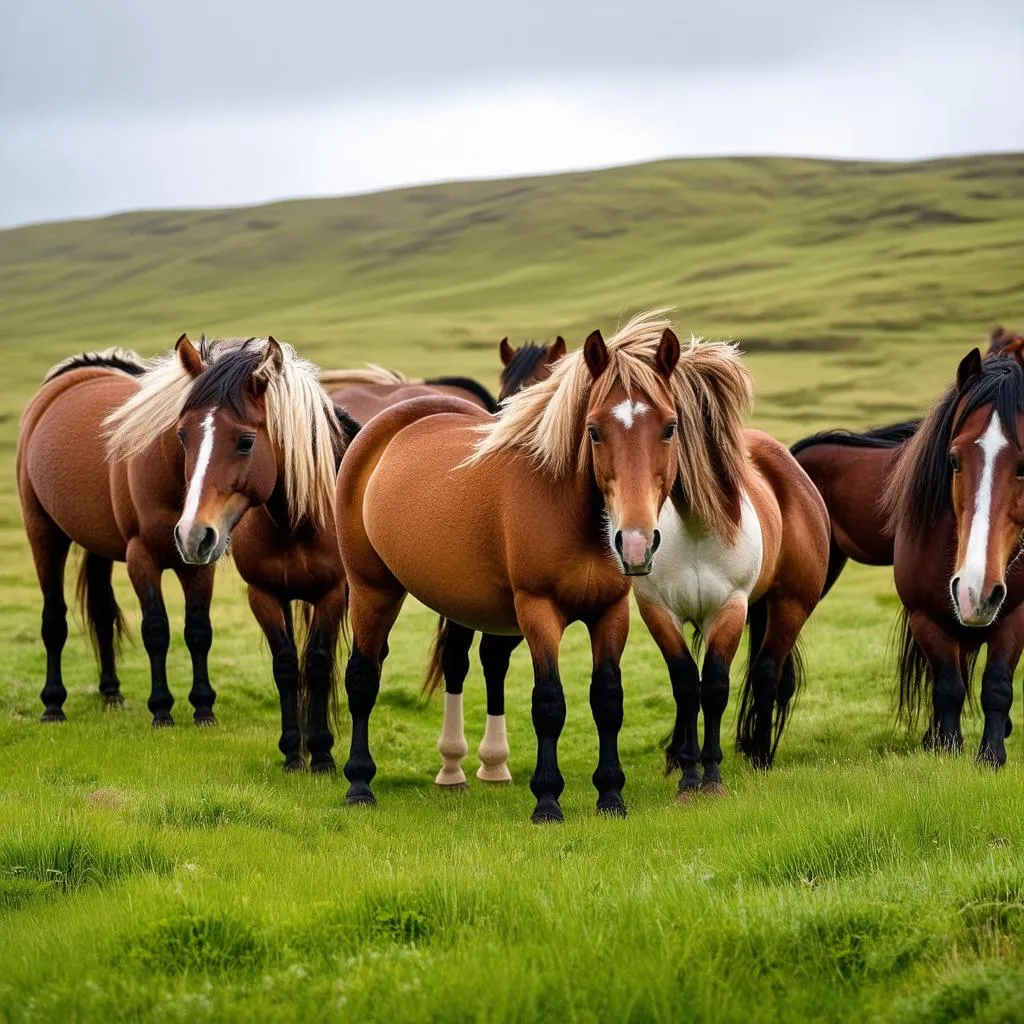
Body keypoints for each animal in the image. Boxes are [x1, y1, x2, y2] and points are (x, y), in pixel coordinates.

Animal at [17, 348, 220, 724]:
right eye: (184, 432)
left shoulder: (201, 560)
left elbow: (199, 629)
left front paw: (203, 707)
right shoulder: (142, 557)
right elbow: (156, 630)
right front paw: (162, 709)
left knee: (101, 610)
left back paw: (110, 691)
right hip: (44, 533)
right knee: (53, 619)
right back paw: (53, 704)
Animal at [107, 335, 356, 770]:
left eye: (245, 442)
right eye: (182, 436)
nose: (192, 535)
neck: (296, 522)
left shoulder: (332, 594)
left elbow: (318, 665)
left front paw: (322, 754)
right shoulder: (264, 595)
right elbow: (286, 666)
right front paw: (293, 752)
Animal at [876, 348, 1024, 765]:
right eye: (954, 460)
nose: (977, 591)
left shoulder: (1016, 615)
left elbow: (997, 686)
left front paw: (991, 756)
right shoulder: (925, 617)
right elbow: (948, 687)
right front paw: (946, 748)